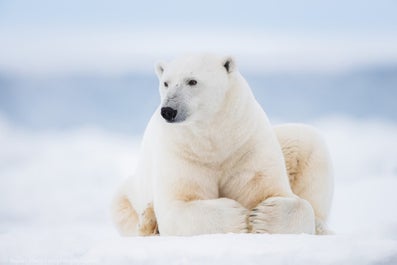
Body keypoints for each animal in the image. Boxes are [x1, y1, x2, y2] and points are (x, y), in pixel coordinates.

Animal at [110, 53, 332, 235]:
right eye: (166, 83)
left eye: (192, 81)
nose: (168, 110)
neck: (215, 140)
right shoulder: (182, 152)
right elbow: (178, 206)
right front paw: (239, 216)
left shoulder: (247, 147)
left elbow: (277, 194)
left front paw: (262, 214)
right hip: (132, 189)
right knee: (120, 204)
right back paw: (148, 220)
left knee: (308, 139)